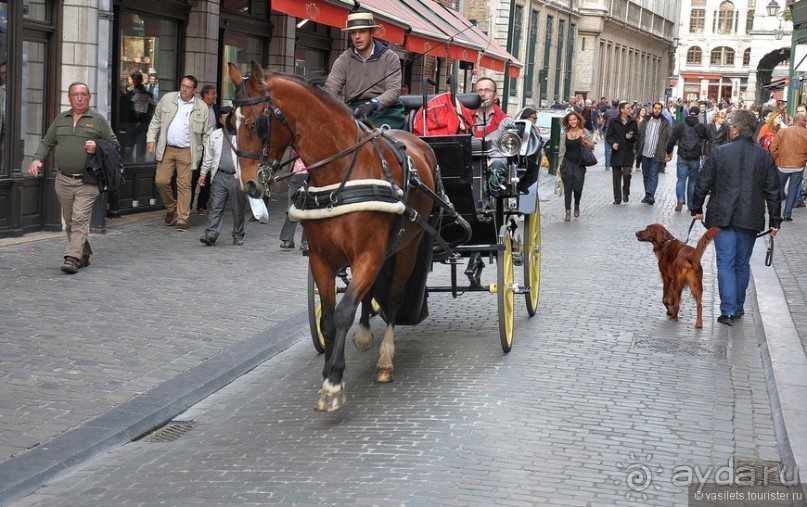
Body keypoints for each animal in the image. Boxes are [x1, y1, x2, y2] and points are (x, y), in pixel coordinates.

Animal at [227, 62, 442, 412]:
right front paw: (328, 369)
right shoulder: (322, 259)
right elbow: (329, 318)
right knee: (370, 294)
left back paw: (385, 360)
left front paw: (334, 382)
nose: (248, 184)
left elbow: (343, 312)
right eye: (229, 122)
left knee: (395, 297)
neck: (339, 175)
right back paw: (365, 335)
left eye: (257, 122)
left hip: (406, 248)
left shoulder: (369, 254)